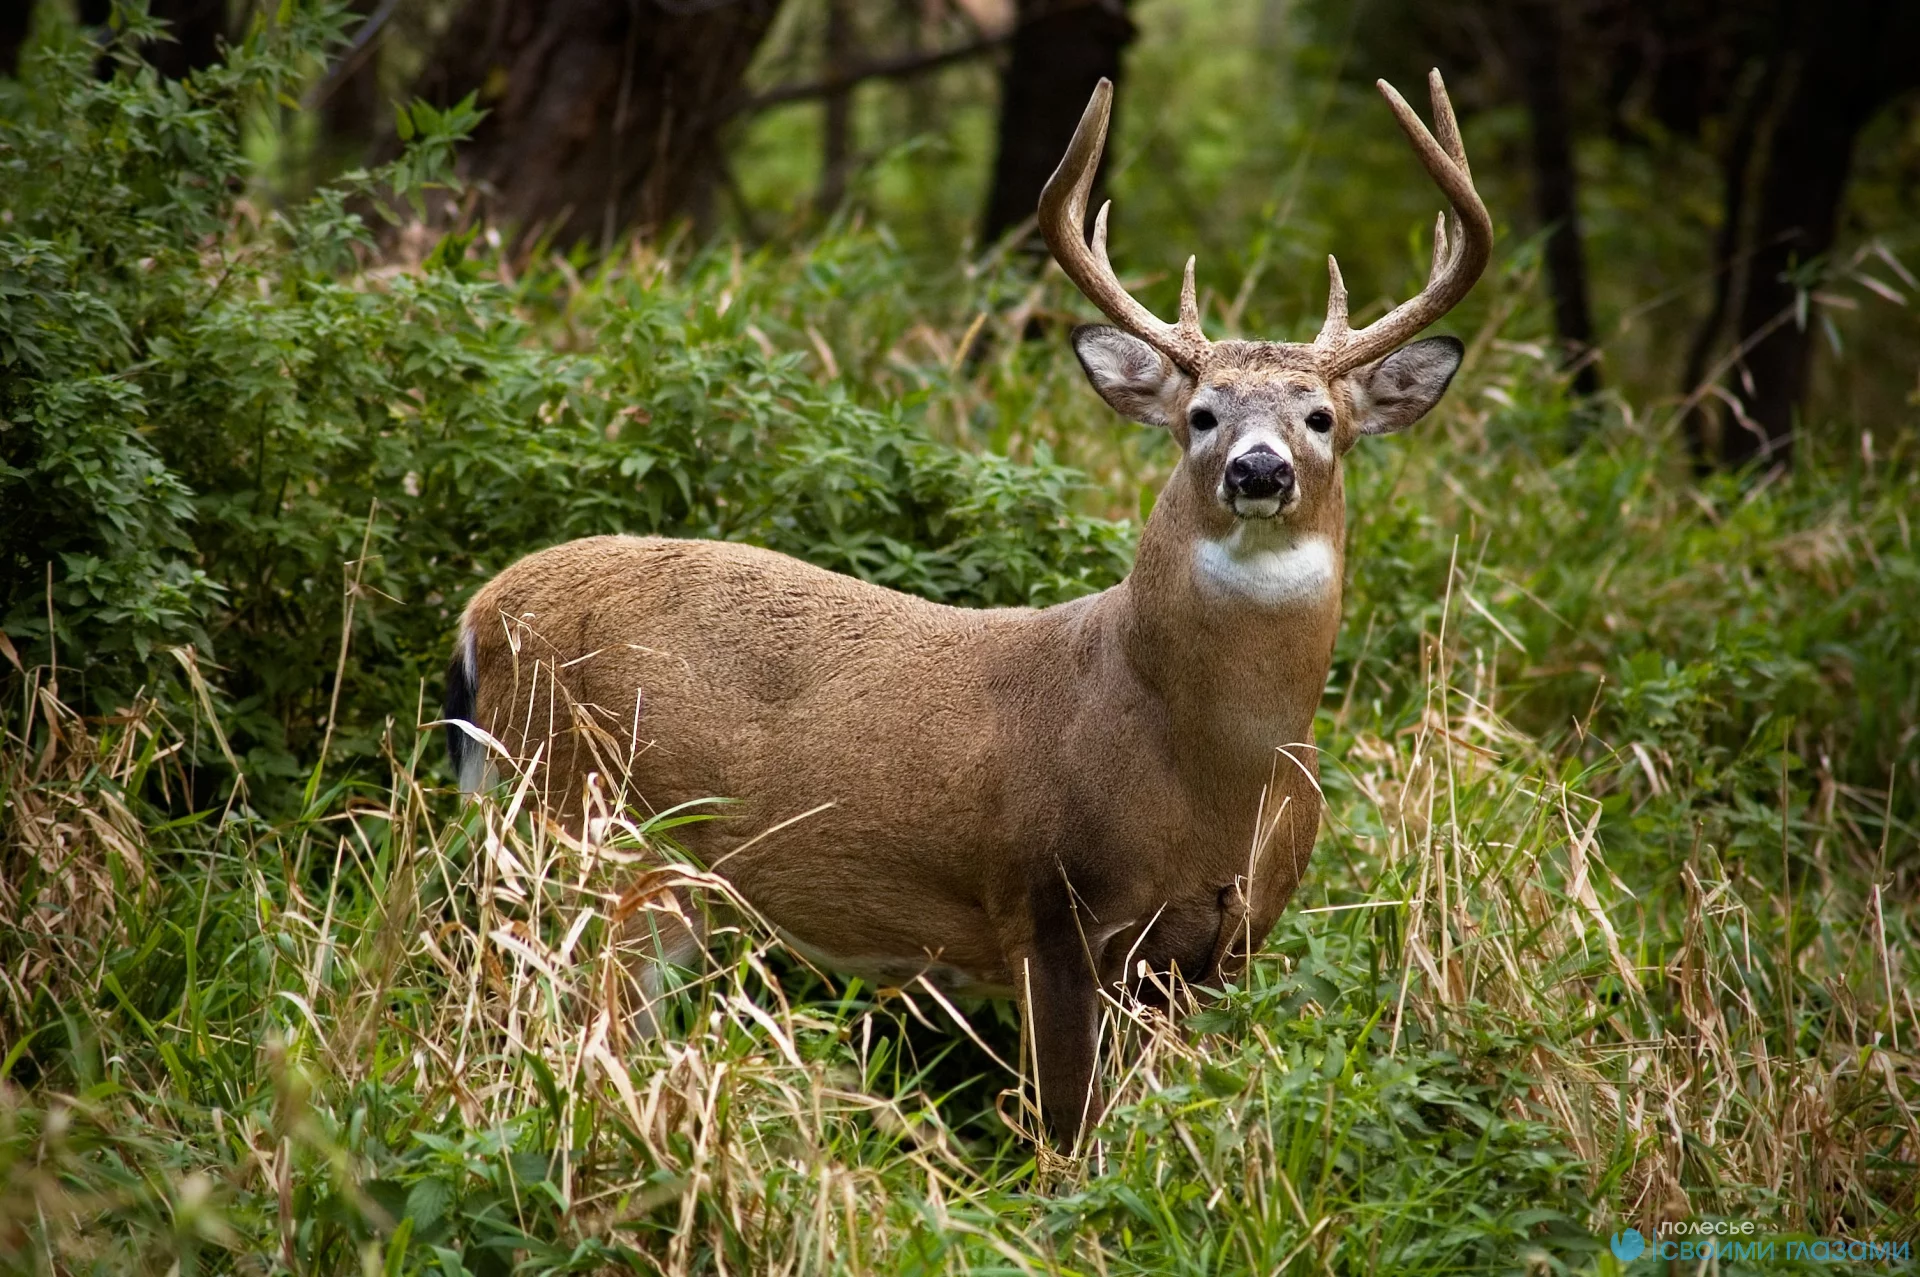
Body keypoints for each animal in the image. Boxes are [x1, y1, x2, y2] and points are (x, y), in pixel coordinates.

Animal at [441, 69, 1489, 1144]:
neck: (1212, 766)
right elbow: (1070, 1131)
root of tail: (481, 615)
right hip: (582, 822)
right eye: (1201, 414)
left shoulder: (1220, 947)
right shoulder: (1047, 903)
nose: (1259, 469)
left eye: (1321, 416)